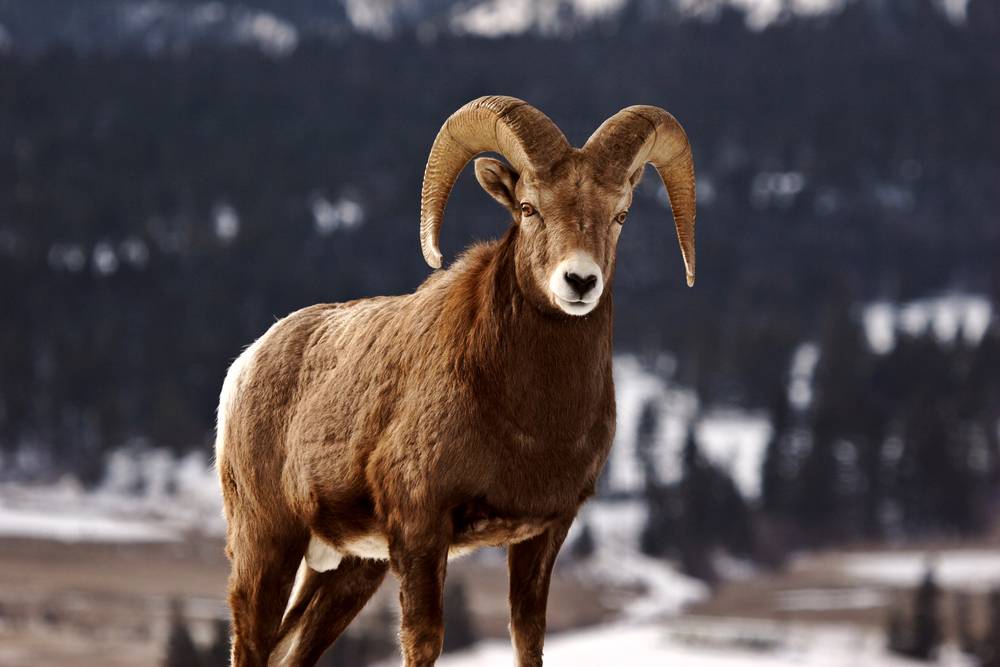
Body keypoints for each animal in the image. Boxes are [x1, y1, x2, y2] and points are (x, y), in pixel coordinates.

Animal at [215, 95, 697, 667]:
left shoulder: (543, 536)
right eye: (529, 208)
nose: (579, 281)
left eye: (619, 215)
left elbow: (528, 639)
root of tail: (247, 364)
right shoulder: (422, 529)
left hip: (351, 570)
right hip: (268, 545)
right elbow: (424, 641)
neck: (530, 423)